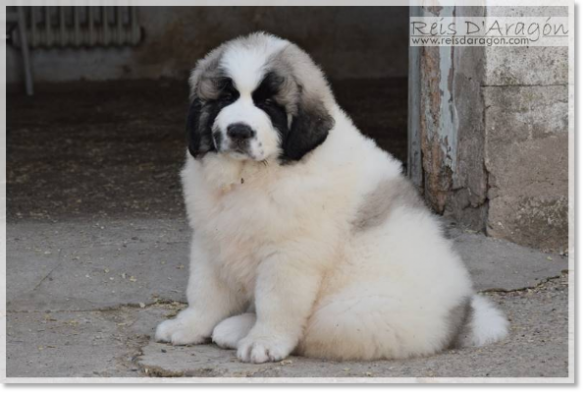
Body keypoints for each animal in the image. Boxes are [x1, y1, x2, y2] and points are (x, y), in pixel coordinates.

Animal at [155, 32, 506, 362]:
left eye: (268, 104)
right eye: (226, 97)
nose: (239, 131)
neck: (254, 176)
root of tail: (462, 317)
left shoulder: (289, 255)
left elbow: (275, 302)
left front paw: (263, 342)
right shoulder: (211, 239)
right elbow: (204, 290)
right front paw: (188, 325)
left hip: (349, 312)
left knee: (313, 328)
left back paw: (238, 330)